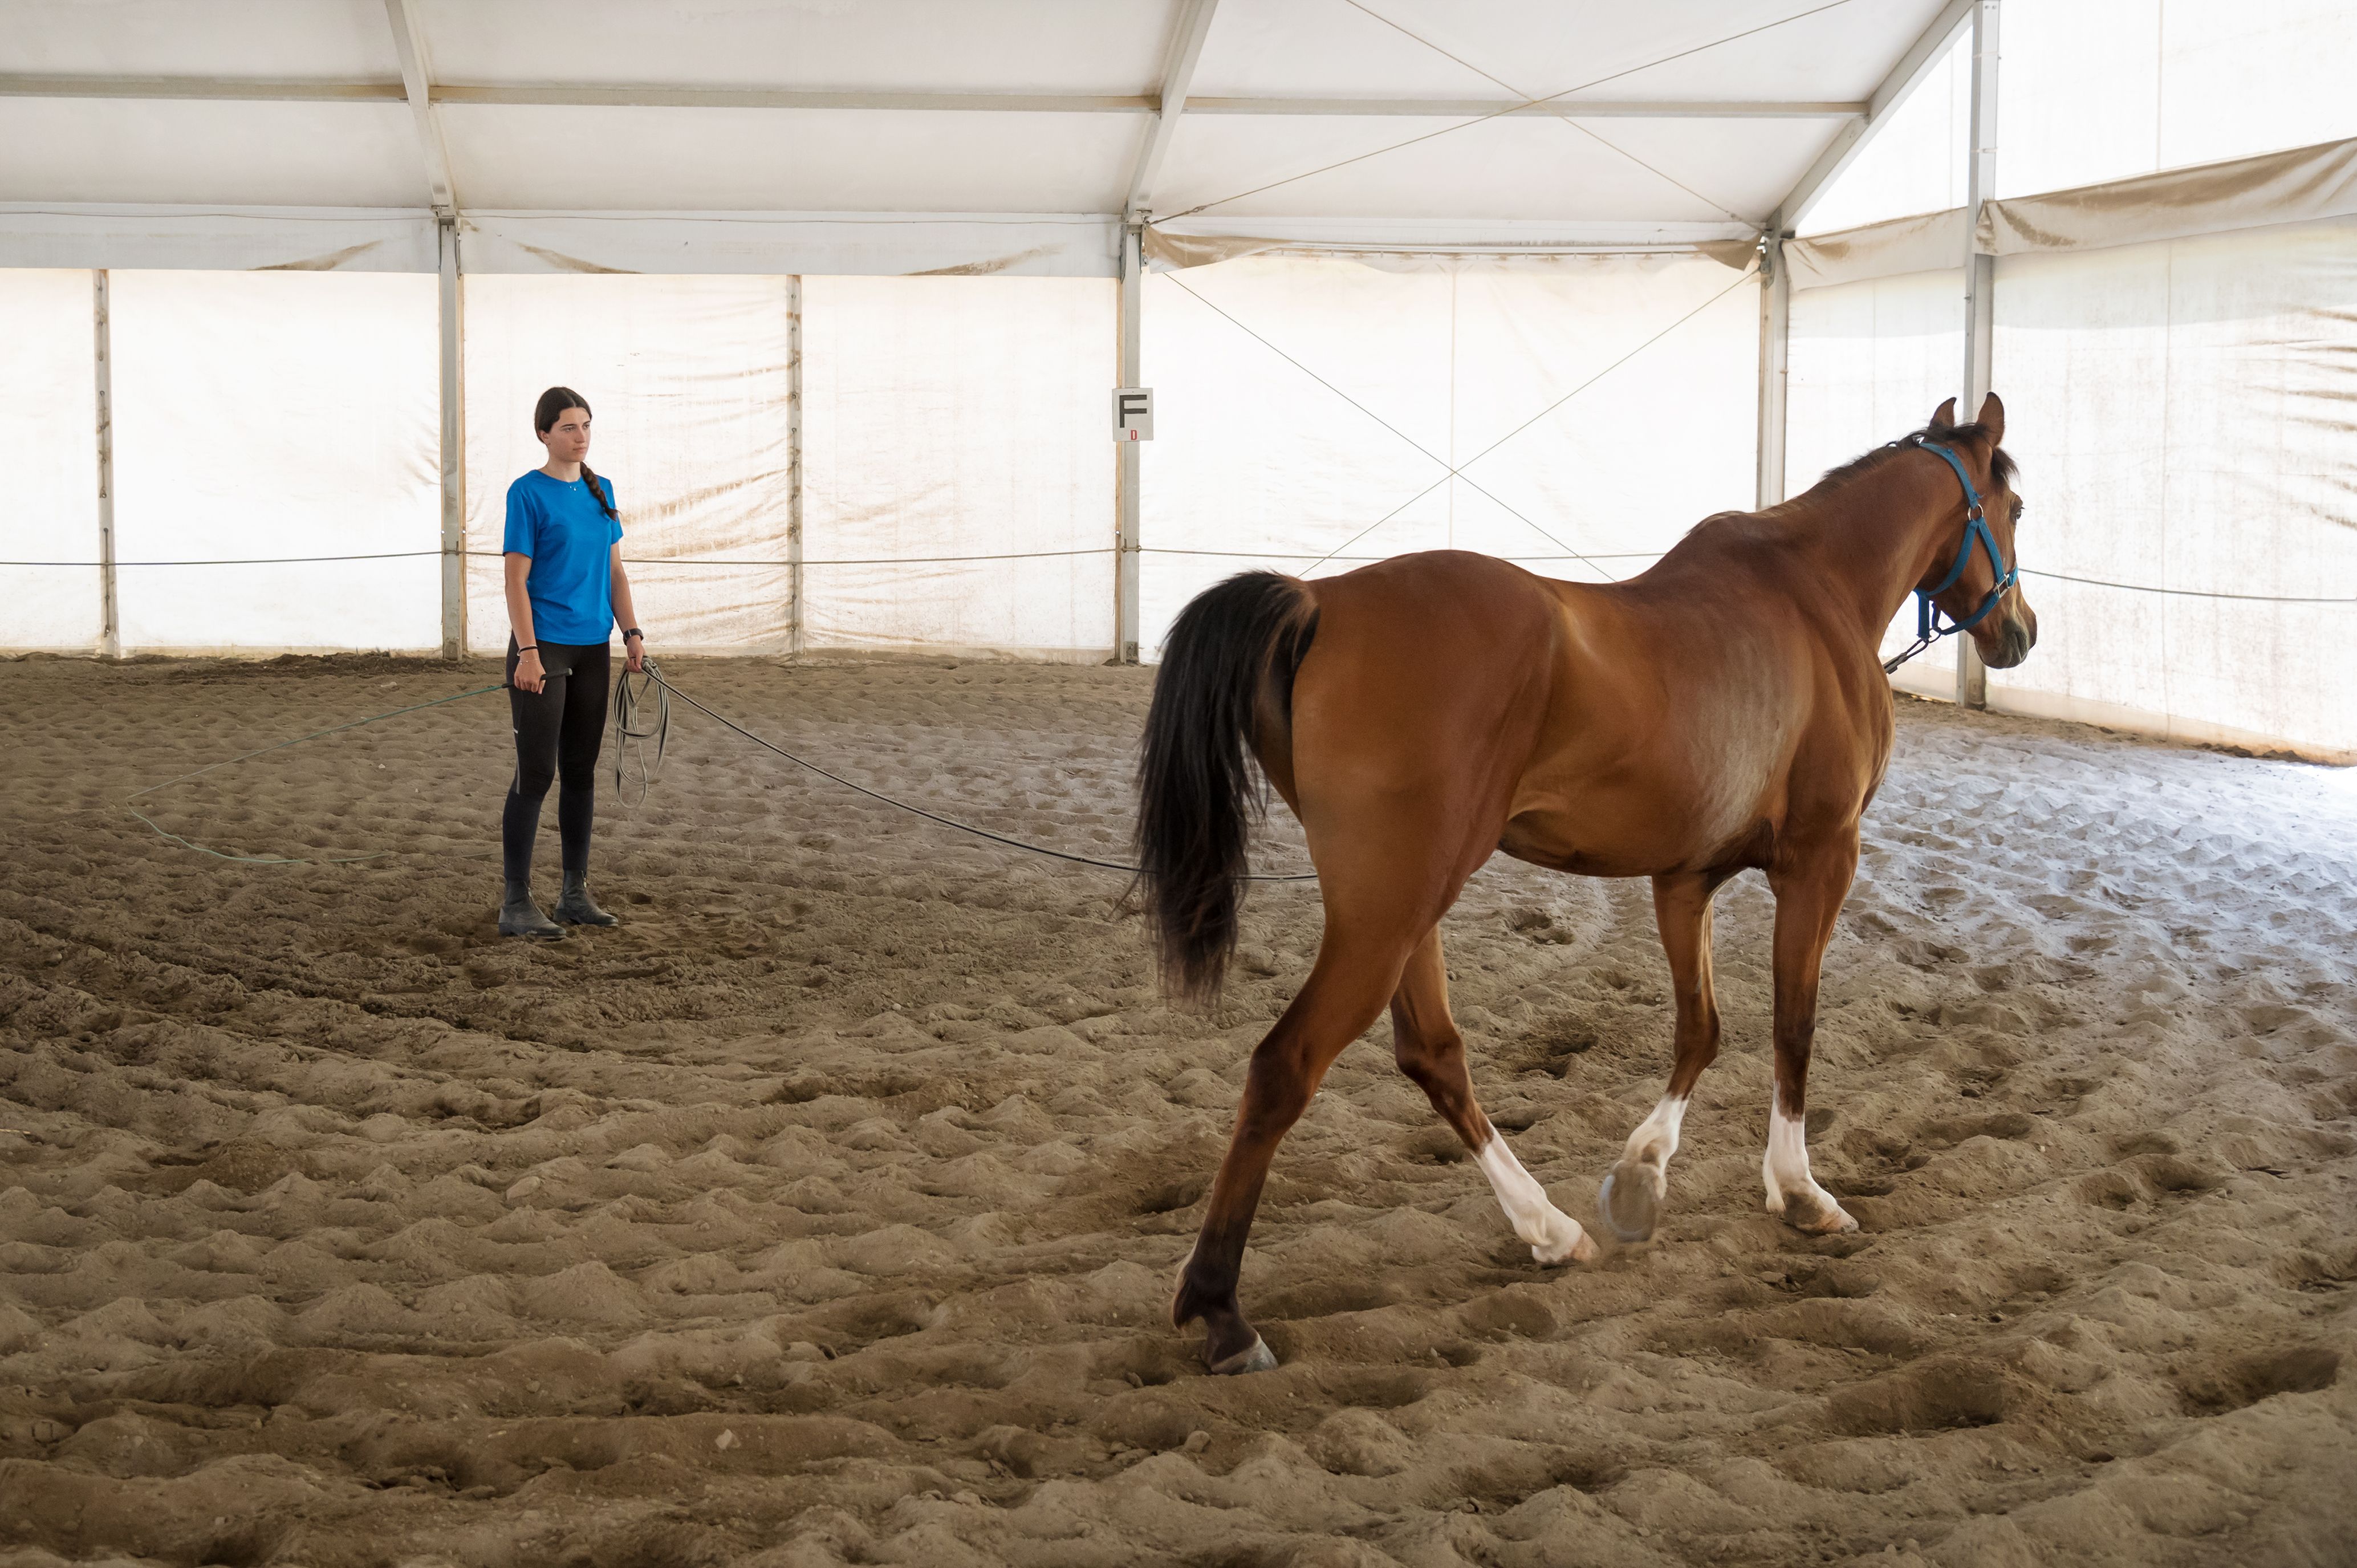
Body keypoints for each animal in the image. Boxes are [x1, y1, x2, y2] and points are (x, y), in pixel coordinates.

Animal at [1134, 394, 2037, 1375]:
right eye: (2015, 507)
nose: (2019, 631)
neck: (1813, 590)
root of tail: (1319, 602)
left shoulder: (1684, 879)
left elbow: (1699, 1029)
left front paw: (1641, 1174)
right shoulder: (1821, 860)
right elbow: (1791, 1026)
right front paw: (1799, 1192)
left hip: (1406, 909)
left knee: (1432, 1053)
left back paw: (1550, 1228)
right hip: (1387, 913)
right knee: (1284, 1066)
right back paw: (1222, 1311)